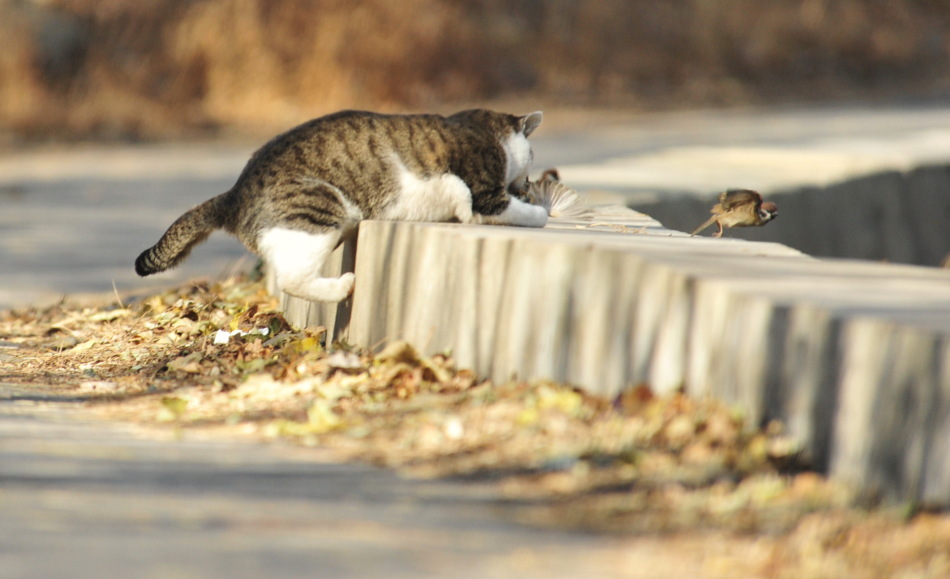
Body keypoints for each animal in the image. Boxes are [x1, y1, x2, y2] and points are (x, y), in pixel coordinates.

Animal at [136, 108, 552, 304]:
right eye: (532, 153)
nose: (530, 178)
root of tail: (234, 193)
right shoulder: (486, 193)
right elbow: (509, 210)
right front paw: (541, 210)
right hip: (320, 212)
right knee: (291, 279)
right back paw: (342, 287)